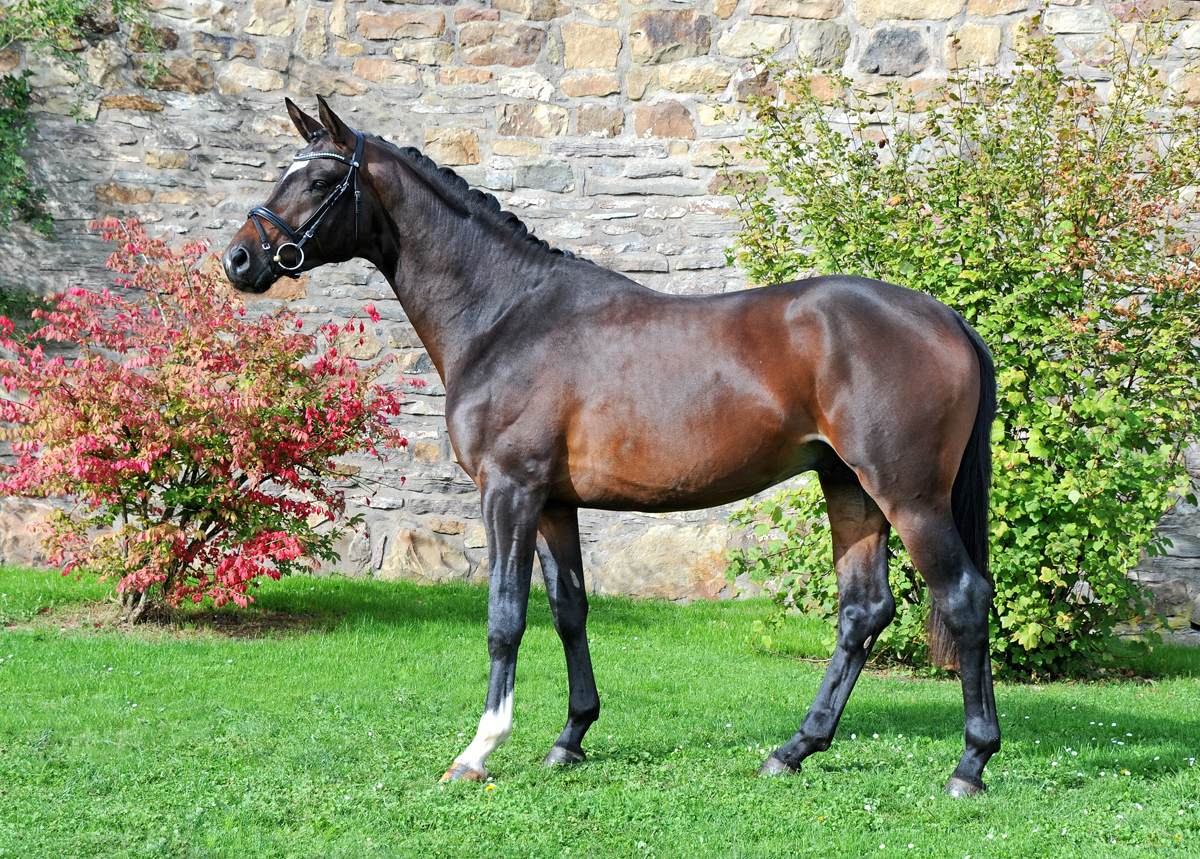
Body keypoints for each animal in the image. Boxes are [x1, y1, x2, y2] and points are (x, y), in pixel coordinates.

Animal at [223, 95, 1003, 796]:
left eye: (319, 180)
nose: (238, 259)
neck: (507, 316)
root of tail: (946, 318)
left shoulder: (508, 492)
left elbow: (506, 618)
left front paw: (478, 751)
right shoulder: (551, 503)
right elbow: (569, 609)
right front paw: (570, 737)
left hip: (909, 495)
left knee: (964, 597)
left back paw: (970, 764)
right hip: (850, 488)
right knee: (863, 612)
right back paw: (794, 750)